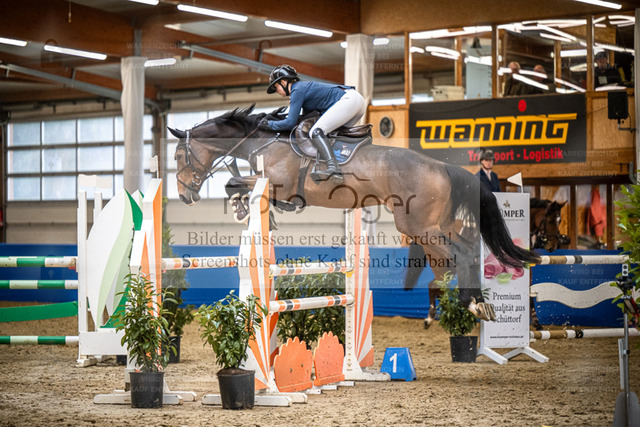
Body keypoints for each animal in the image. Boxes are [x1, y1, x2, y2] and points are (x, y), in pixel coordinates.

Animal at [169, 105, 540, 321]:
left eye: (177, 155)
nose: (185, 195)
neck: (264, 141)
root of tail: (443, 167)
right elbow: (239, 185)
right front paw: (252, 211)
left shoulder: (278, 185)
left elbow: (234, 182)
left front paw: (244, 207)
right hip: (438, 224)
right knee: (468, 246)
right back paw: (479, 302)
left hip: (419, 225)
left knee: (461, 251)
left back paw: (472, 303)